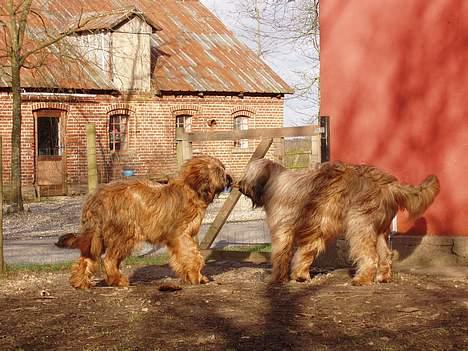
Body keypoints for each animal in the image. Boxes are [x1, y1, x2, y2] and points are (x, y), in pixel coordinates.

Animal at [56, 155, 232, 290]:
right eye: (219, 171)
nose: (230, 179)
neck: (191, 189)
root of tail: (96, 199)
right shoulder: (182, 235)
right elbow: (193, 255)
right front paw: (197, 277)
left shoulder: (178, 239)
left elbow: (183, 257)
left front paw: (189, 276)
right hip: (124, 234)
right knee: (108, 260)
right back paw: (118, 280)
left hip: (98, 236)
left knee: (87, 257)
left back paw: (80, 282)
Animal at [239, 160, 440, 286]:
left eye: (247, 174)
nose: (237, 184)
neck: (272, 182)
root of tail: (388, 184)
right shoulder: (316, 230)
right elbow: (305, 253)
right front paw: (301, 275)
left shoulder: (283, 231)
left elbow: (281, 255)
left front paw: (276, 278)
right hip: (379, 229)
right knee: (385, 255)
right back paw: (383, 277)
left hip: (359, 224)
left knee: (370, 256)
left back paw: (362, 279)